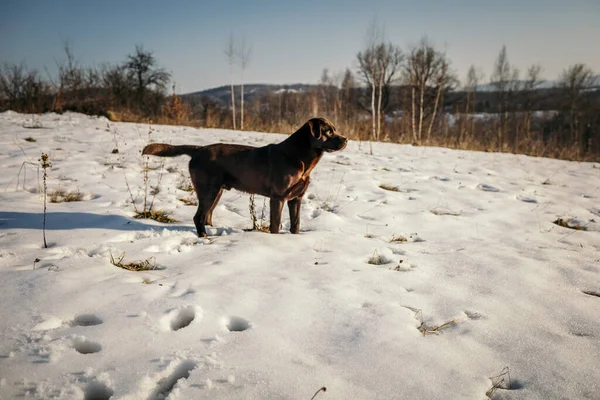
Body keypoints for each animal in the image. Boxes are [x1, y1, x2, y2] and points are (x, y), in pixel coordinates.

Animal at [142, 119, 346, 238]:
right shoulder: (278, 198)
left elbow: (295, 224)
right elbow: (275, 224)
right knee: (198, 216)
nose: (345, 140)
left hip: (217, 191)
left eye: (335, 130)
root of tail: (198, 150)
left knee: (207, 215)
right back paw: (204, 238)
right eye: (328, 131)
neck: (300, 160)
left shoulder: (296, 198)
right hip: (209, 190)